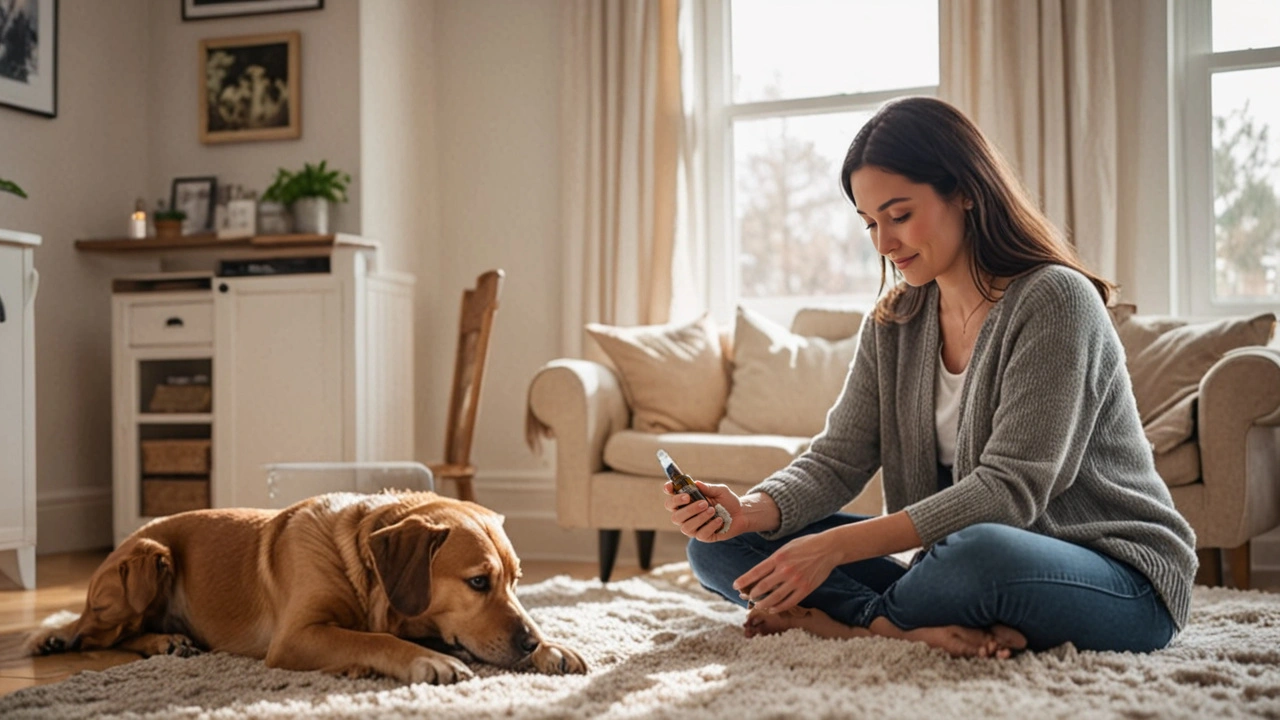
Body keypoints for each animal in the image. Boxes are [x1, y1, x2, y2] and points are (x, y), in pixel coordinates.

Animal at [26, 489, 586, 681]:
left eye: (515, 581)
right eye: (477, 582)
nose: (529, 642)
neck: (363, 571)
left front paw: (553, 647)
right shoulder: (297, 636)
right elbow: (376, 639)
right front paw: (428, 660)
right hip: (149, 560)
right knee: (96, 635)